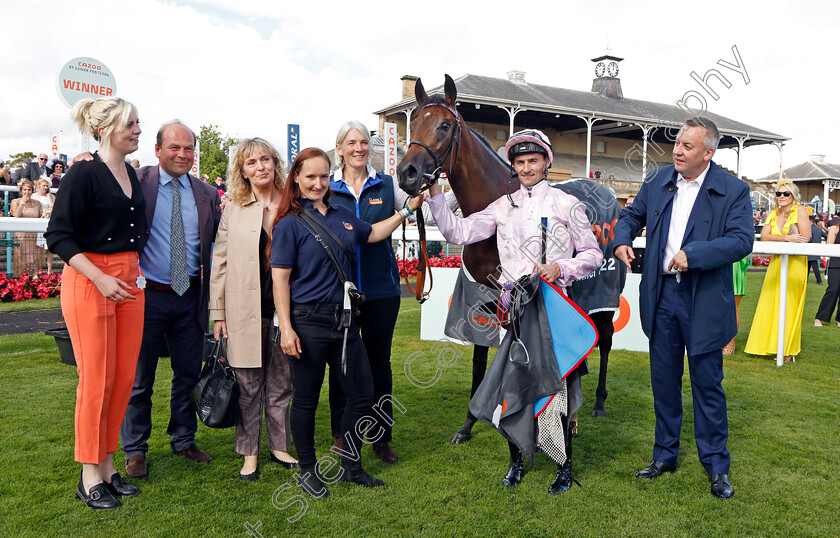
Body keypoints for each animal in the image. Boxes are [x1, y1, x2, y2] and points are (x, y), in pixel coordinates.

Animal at [398, 75, 612, 444]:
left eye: (444, 125)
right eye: (415, 124)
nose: (407, 173)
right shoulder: (481, 298)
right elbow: (480, 359)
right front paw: (468, 423)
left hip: (605, 295)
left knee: (605, 340)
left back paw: (594, 404)